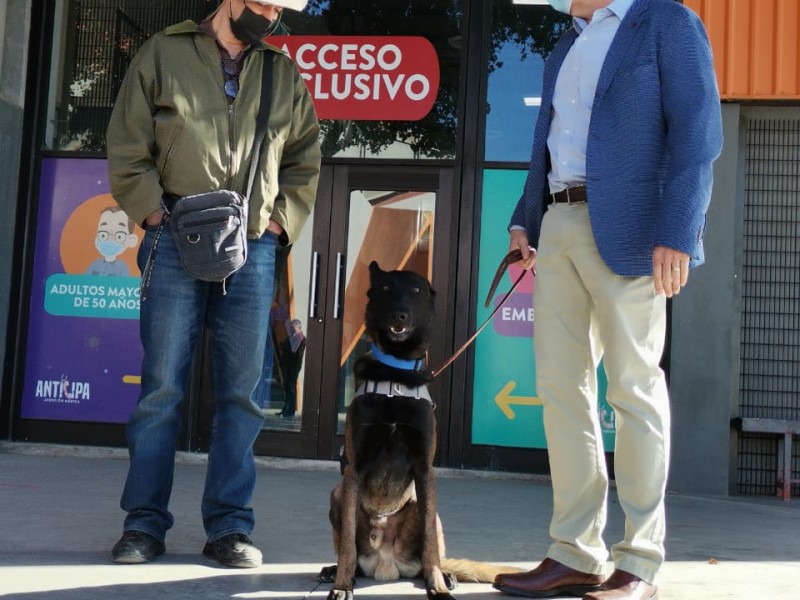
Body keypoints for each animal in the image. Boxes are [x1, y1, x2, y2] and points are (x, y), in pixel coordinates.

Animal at [320, 262, 520, 600]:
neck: (395, 373)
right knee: (351, 550)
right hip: (338, 493)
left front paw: (436, 586)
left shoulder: (426, 471)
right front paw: (343, 585)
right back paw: (336, 571)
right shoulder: (353, 470)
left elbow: (429, 547)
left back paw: (444, 575)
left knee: (429, 553)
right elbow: (347, 542)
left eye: (416, 290)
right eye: (386, 288)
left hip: (429, 510)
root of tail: (386, 563)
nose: (399, 315)